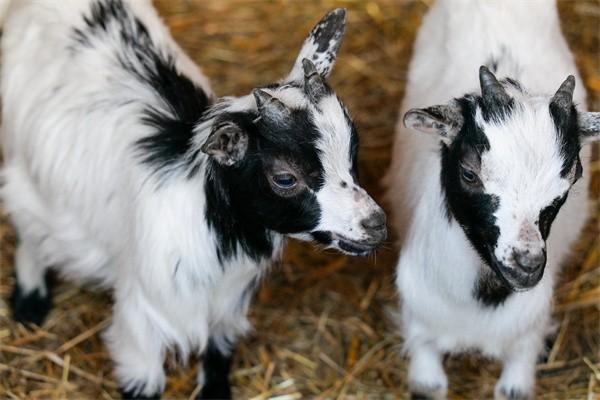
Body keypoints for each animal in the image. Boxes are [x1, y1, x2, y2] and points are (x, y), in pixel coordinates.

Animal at [386, 1, 596, 398]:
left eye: (570, 179)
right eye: (469, 172)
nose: (526, 265)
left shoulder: (526, 335)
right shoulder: (420, 324)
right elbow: (429, 385)